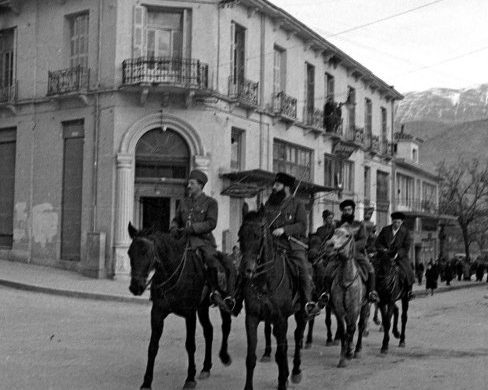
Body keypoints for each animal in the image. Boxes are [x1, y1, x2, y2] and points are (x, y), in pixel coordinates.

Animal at [126, 224, 233, 388]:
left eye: (146, 252)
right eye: (129, 252)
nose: (135, 287)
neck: (173, 273)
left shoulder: (190, 314)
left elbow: (190, 345)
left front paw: (190, 378)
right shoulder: (157, 313)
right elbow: (153, 347)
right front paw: (146, 382)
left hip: (223, 302)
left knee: (226, 325)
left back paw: (224, 356)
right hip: (202, 307)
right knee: (209, 331)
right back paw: (206, 368)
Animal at [238, 212, 306, 390]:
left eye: (257, 236)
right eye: (240, 236)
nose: (246, 270)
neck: (265, 281)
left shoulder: (281, 319)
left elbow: (281, 354)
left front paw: (282, 382)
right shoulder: (252, 318)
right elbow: (251, 357)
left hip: (301, 313)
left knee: (297, 337)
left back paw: (295, 371)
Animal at [324, 224, 370, 368]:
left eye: (347, 236)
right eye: (334, 232)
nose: (329, 245)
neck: (346, 279)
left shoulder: (354, 309)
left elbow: (351, 329)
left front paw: (349, 352)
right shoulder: (339, 310)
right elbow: (344, 331)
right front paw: (343, 358)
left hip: (365, 305)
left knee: (360, 326)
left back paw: (357, 350)